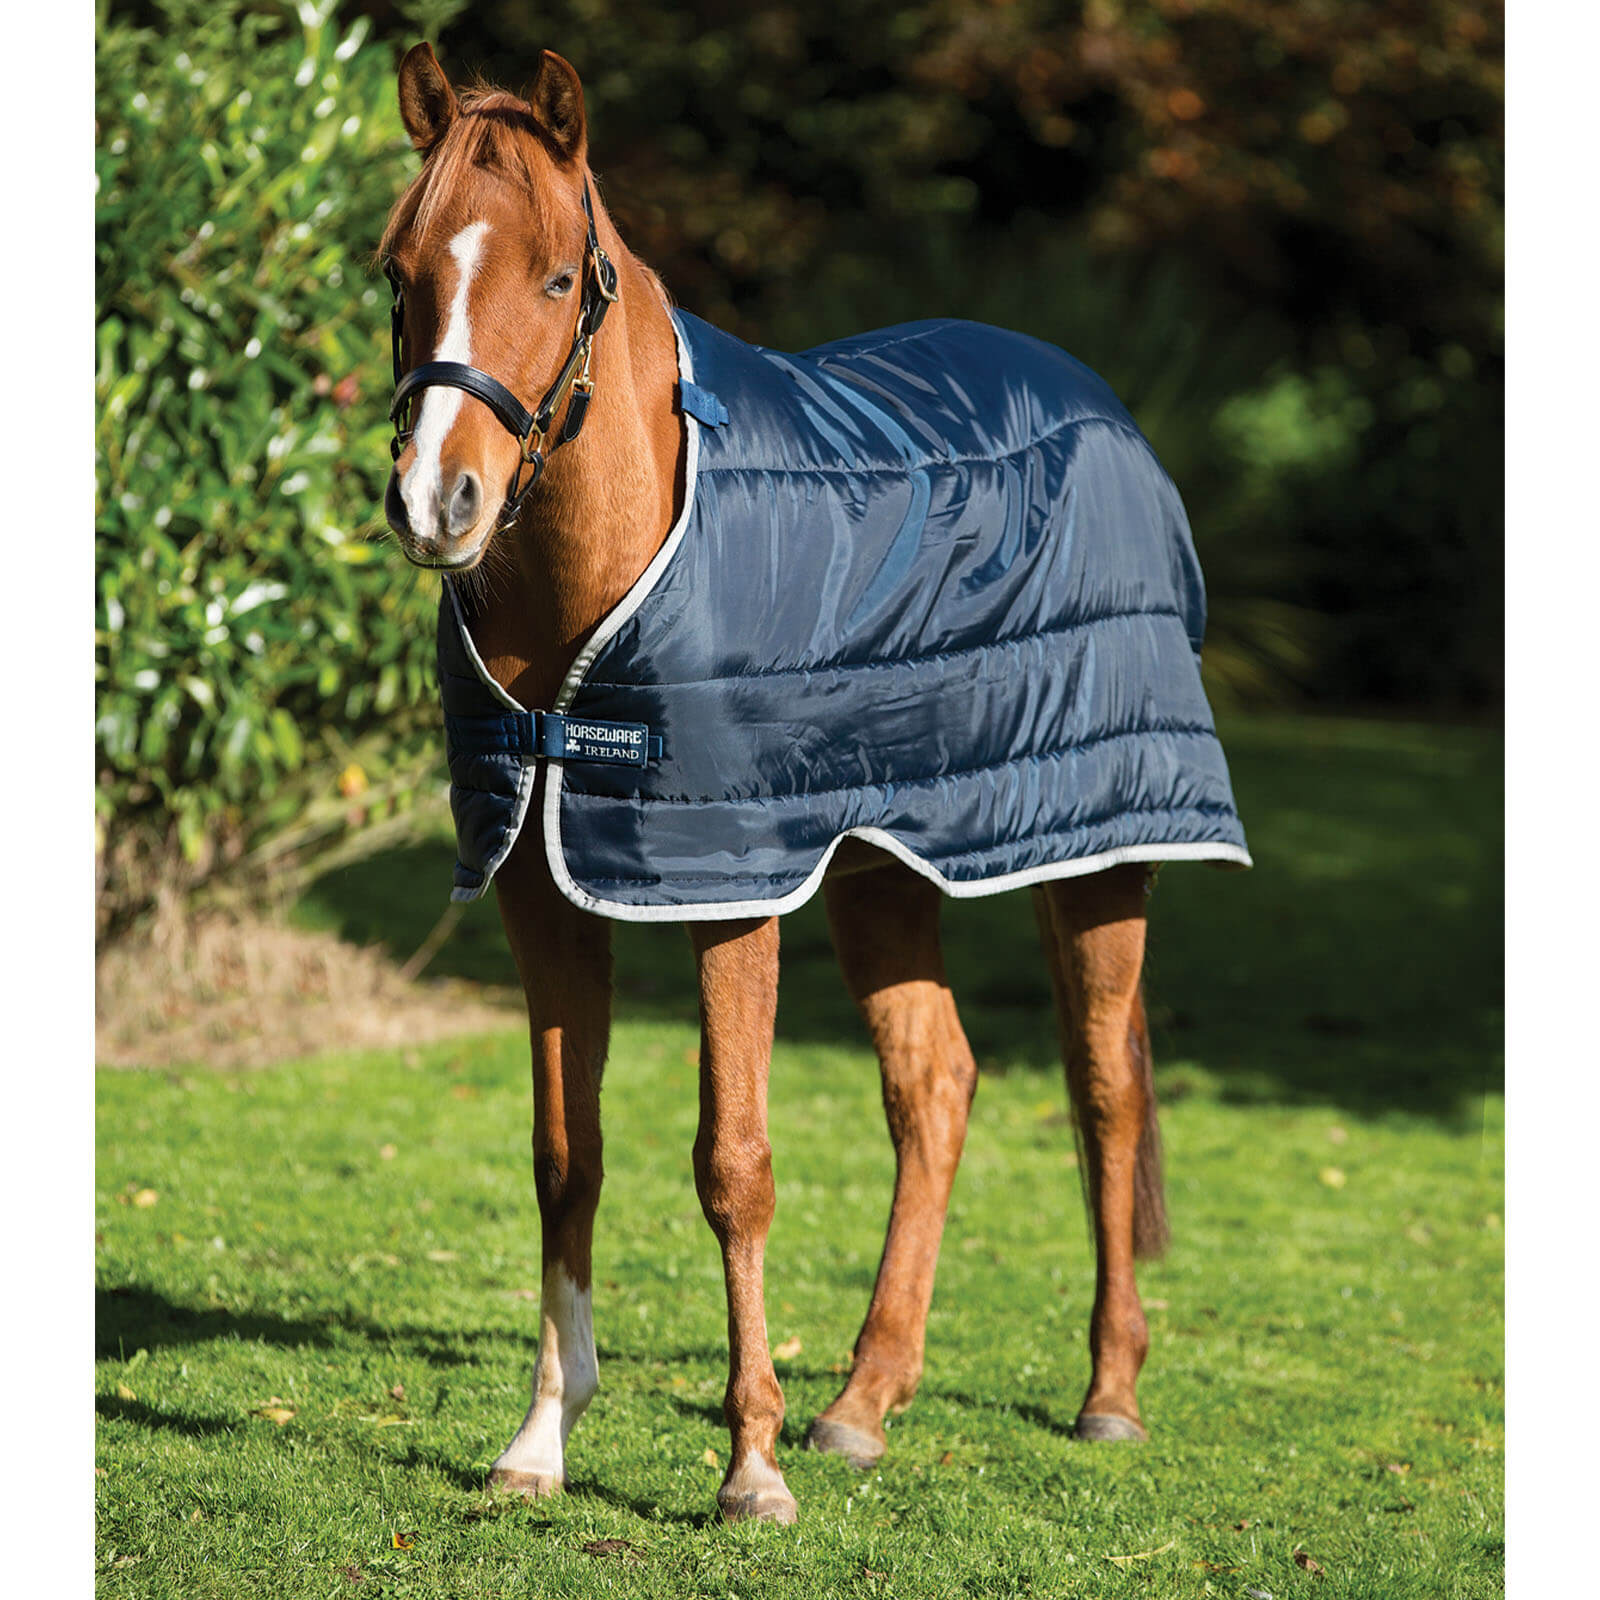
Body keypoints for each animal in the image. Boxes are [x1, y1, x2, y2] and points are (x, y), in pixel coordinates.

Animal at [378, 43, 1248, 1525]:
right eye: (399, 273)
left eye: (553, 279)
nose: (441, 502)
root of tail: (1099, 405)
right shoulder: (542, 890)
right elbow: (566, 1159)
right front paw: (540, 1442)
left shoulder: (730, 892)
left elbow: (734, 1165)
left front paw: (750, 1469)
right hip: (882, 867)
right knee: (936, 1088)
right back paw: (863, 1402)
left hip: (1097, 852)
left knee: (1103, 1093)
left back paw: (1107, 1395)